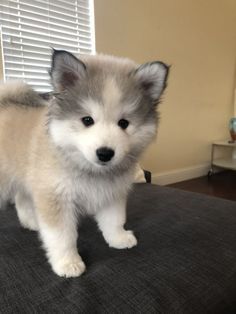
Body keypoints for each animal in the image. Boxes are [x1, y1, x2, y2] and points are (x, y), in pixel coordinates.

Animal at [0, 49, 170, 278]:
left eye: (124, 123)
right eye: (87, 120)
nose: (105, 153)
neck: (90, 171)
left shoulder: (112, 193)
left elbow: (114, 220)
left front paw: (118, 238)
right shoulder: (56, 197)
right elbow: (62, 237)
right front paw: (68, 263)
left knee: (22, 199)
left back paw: (32, 223)